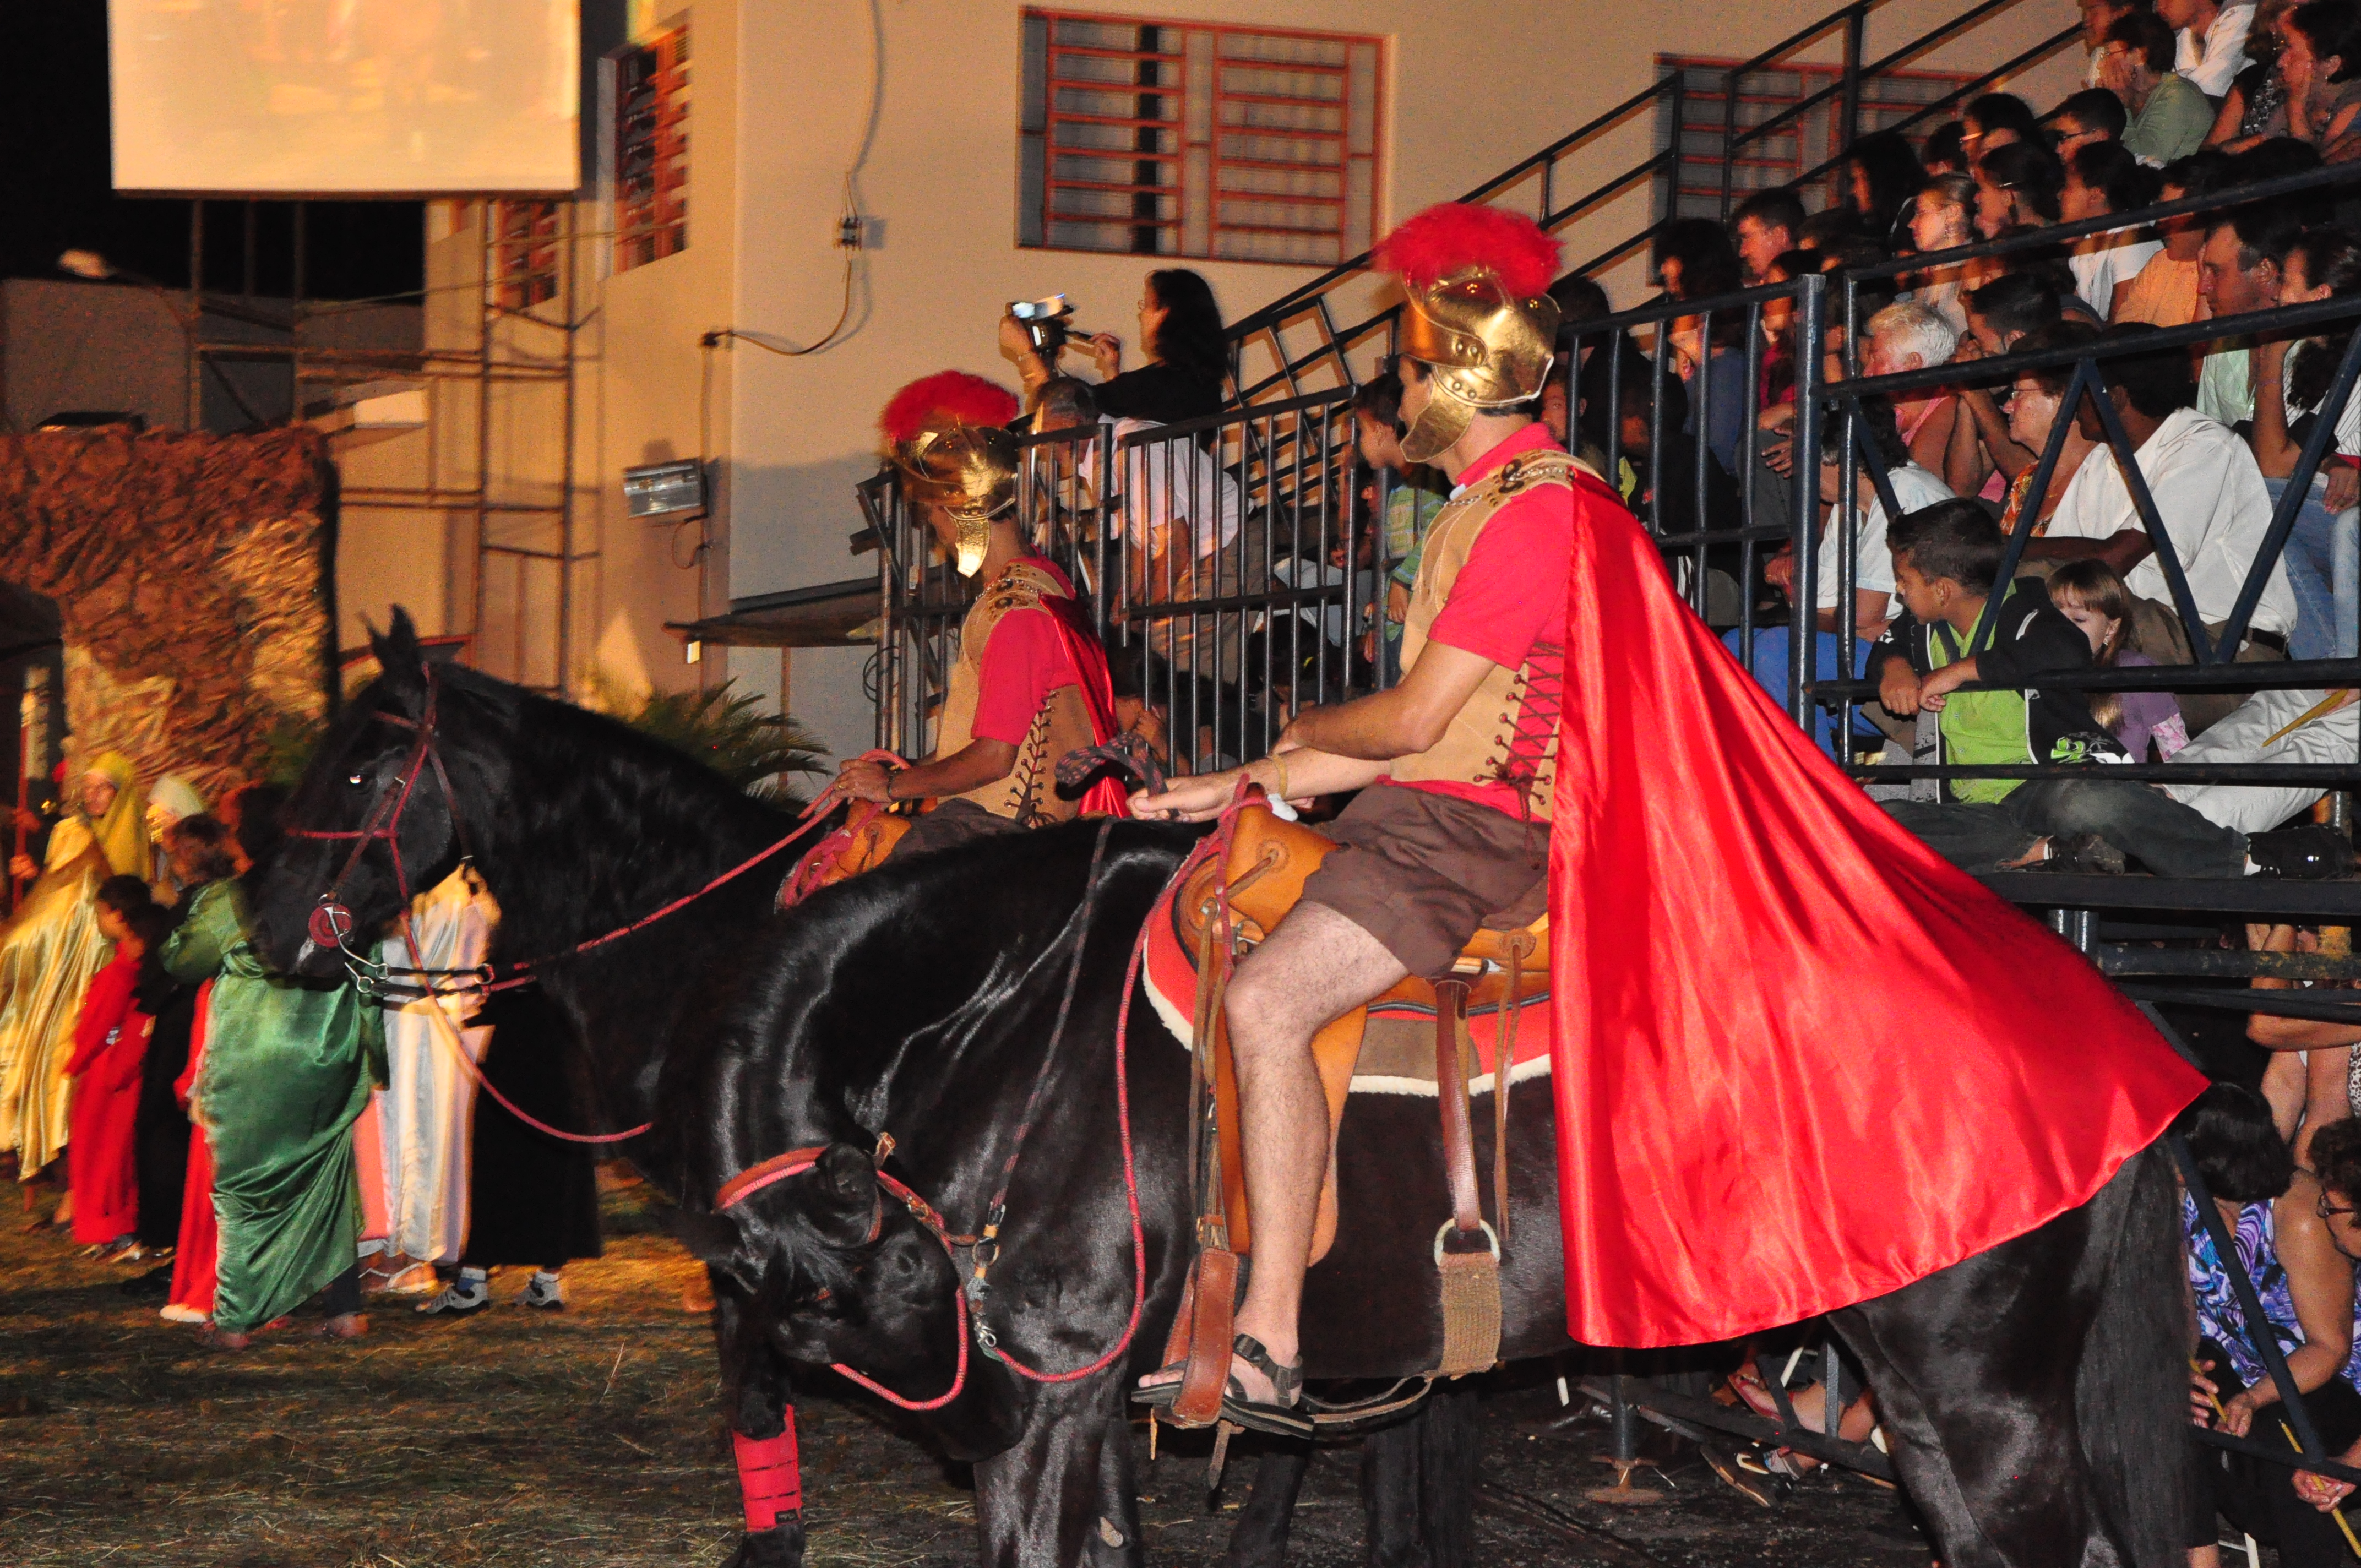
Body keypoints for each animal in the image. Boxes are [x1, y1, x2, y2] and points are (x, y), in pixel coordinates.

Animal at [249, 618, 2182, 1567]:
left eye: (353, 765)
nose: (267, 924)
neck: (971, 1013)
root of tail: (2112, 1024)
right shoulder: (1037, 1403)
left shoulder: (1030, 1405)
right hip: (1934, 1407)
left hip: (1983, 1408)